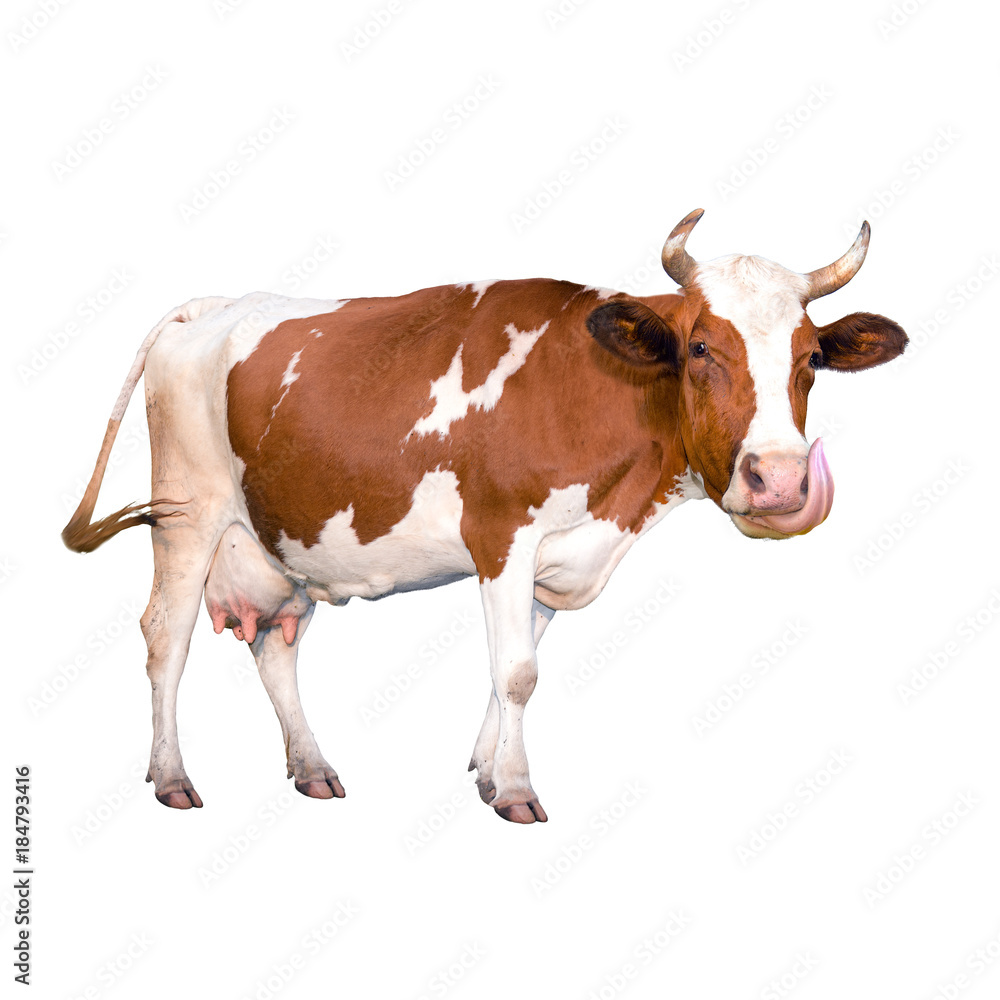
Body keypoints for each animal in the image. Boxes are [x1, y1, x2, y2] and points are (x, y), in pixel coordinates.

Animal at [62, 209, 907, 823]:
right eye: (699, 348)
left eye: (810, 359)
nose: (780, 482)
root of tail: (213, 304)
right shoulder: (503, 534)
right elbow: (519, 672)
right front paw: (518, 792)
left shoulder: (557, 556)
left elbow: (514, 670)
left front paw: (488, 772)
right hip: (188, 513)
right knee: (165, 638)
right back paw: (172, 778)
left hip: (281, 541)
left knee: (276, 642)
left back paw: (313, 768)